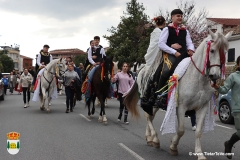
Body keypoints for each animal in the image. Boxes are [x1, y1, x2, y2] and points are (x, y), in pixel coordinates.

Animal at [124, 29, 232, 159]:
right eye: (212, 50)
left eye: (225, 52)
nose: (215, 75)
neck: (197, 78)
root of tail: (143, 69)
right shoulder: (181, 106)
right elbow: (180, 130)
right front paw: (173, 146)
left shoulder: (202, 107)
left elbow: (198, 131)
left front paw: (199, 153)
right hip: (152, 101)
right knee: (148, 116)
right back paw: (155, 139)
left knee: (150, 117)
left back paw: (149, 138)